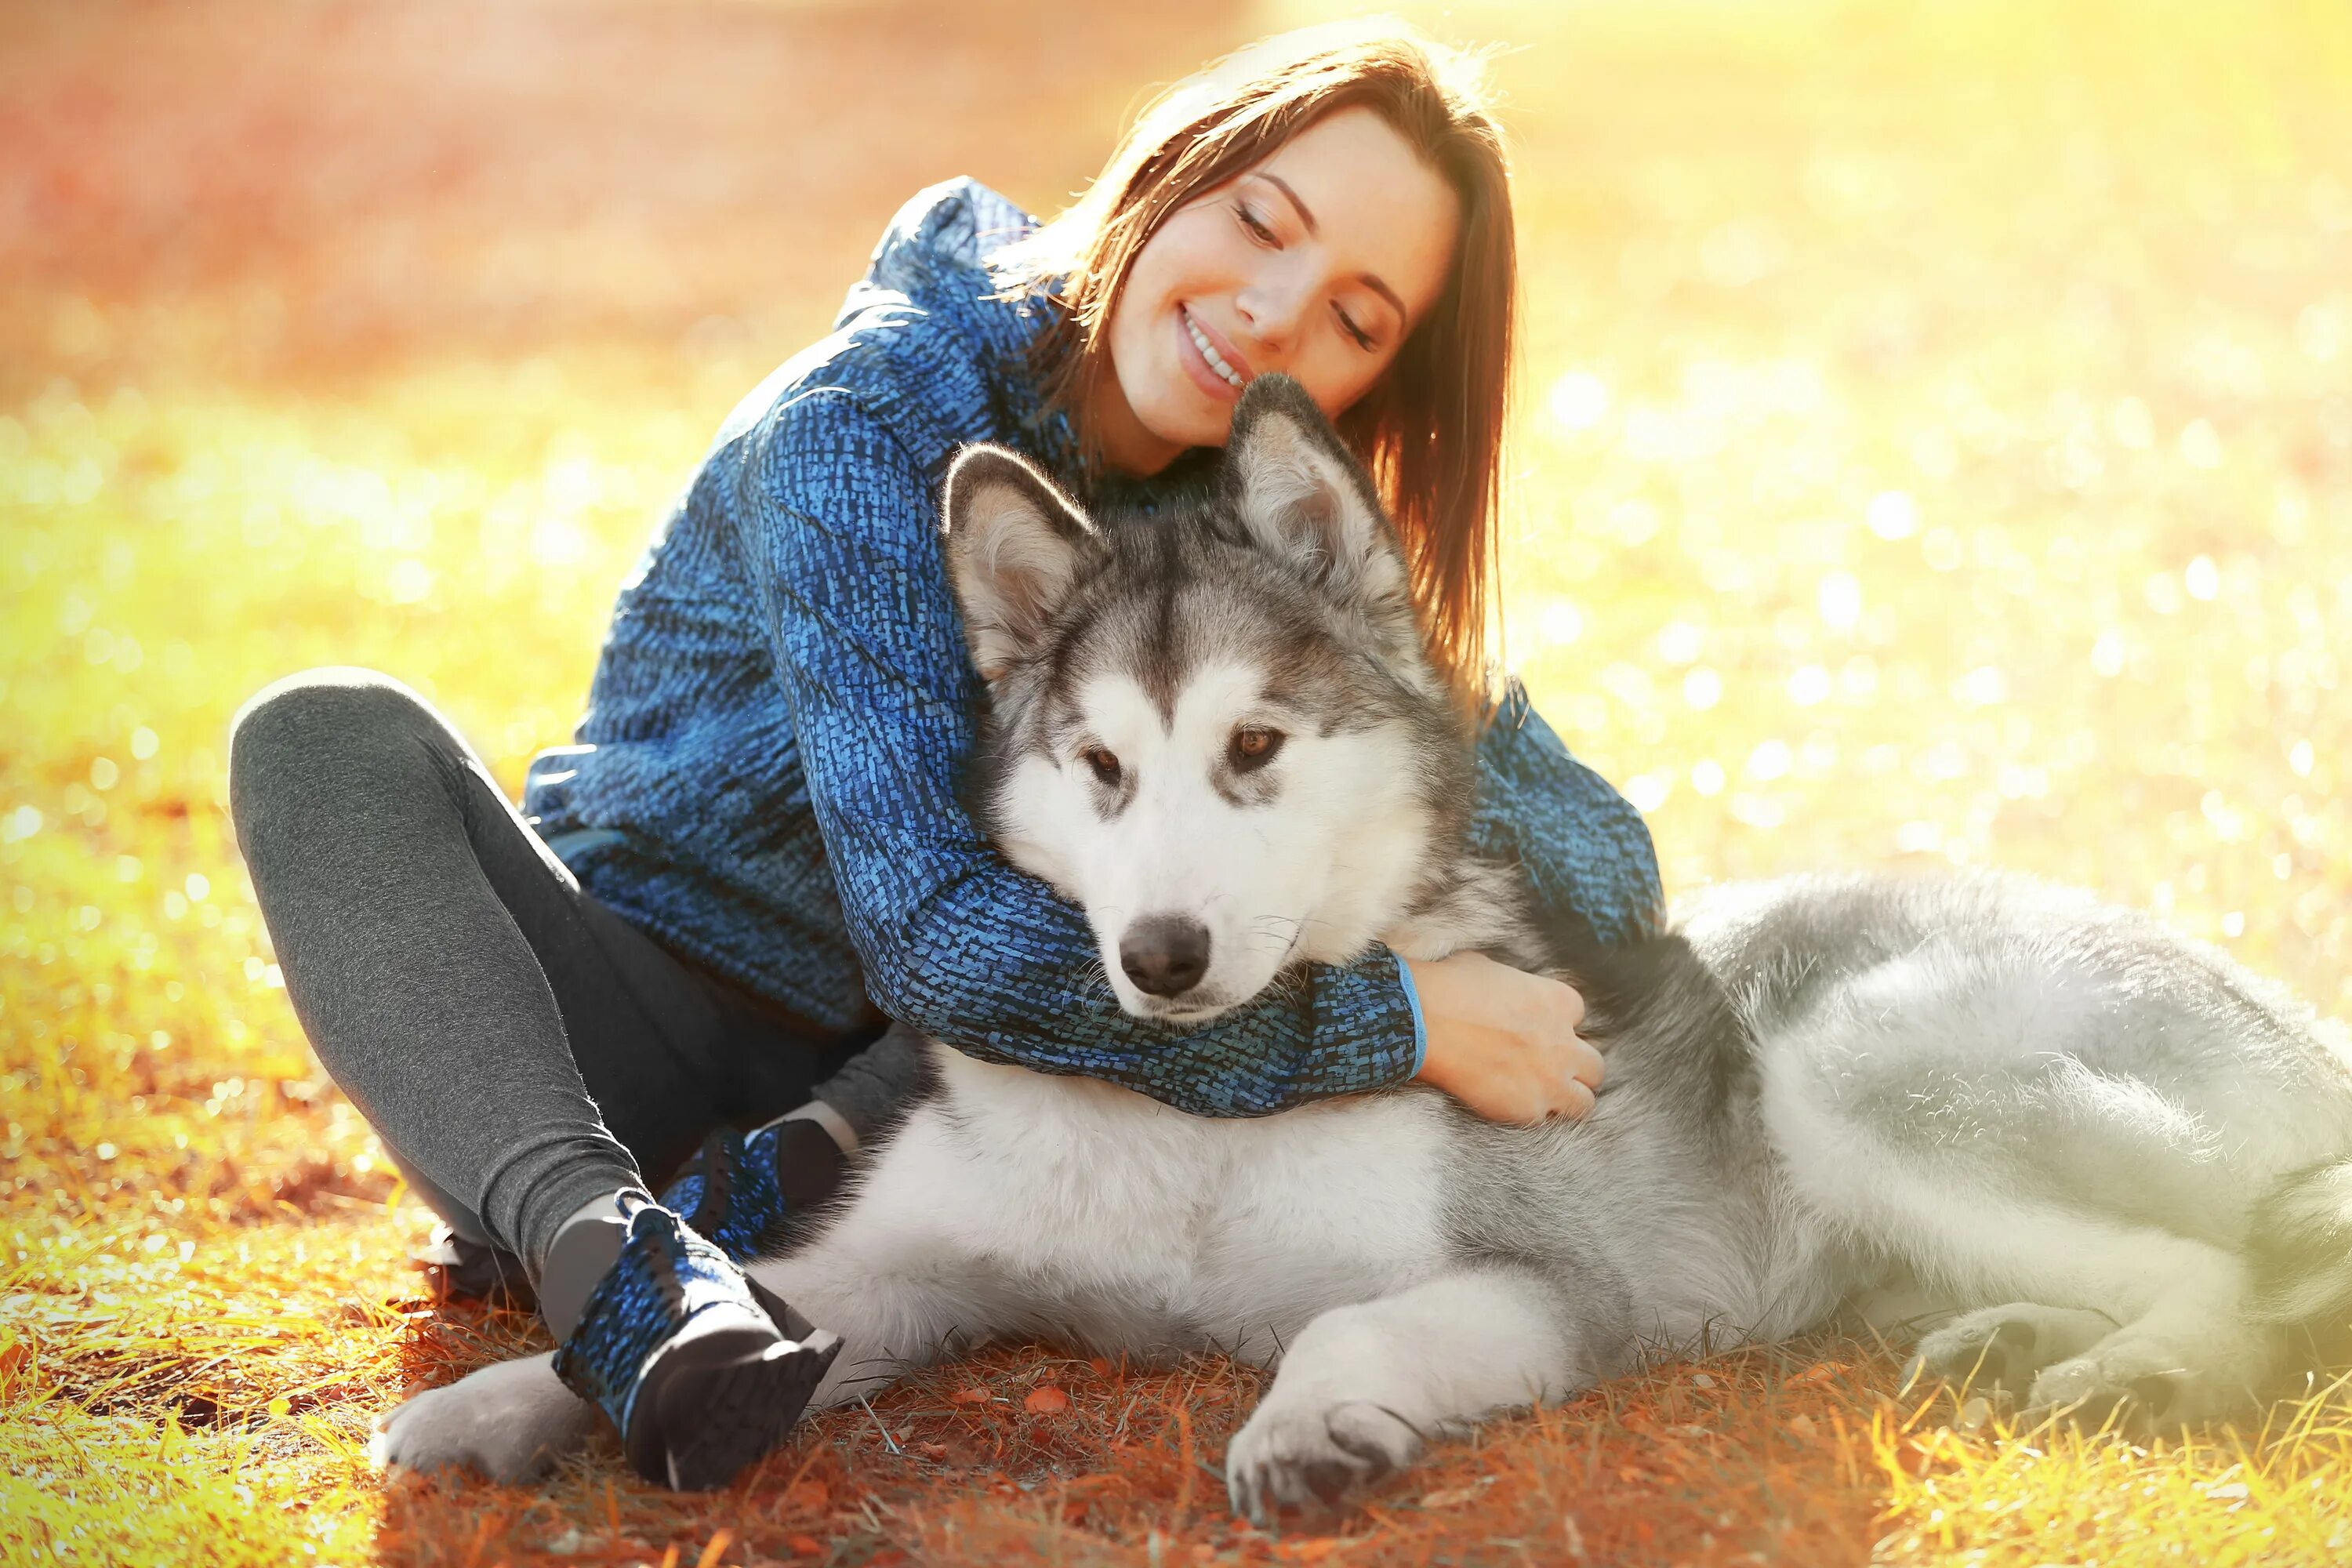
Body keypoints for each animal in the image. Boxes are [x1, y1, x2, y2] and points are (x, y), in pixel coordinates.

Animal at [376, 371, 2352, 1523]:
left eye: (1253, 744)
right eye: (1102, 765)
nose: (1162, 955)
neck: (1198, 1114)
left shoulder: (1559, 1284)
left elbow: (1340, 1327)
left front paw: (1309, 1428)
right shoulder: (914, 1256)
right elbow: (758, 1296)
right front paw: (507, 1401)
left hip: (1854, 1057)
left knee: (2247, 1280)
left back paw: (2140, 1365)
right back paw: (2015, 1331)